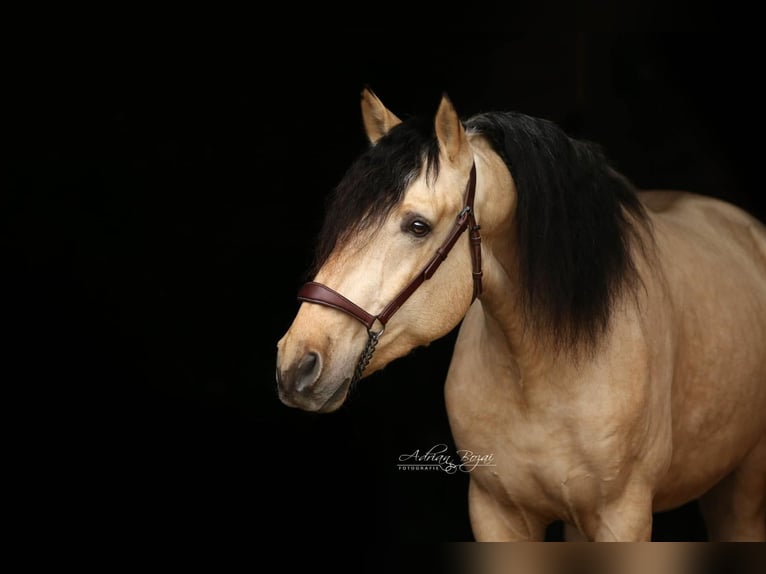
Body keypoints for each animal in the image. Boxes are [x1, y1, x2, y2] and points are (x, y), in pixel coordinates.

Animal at [275, 88, 766, 541]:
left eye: (418, 226)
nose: (295, 364)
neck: (543, 370)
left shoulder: (623, 516)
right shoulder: (496, 513)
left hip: (741, 496)